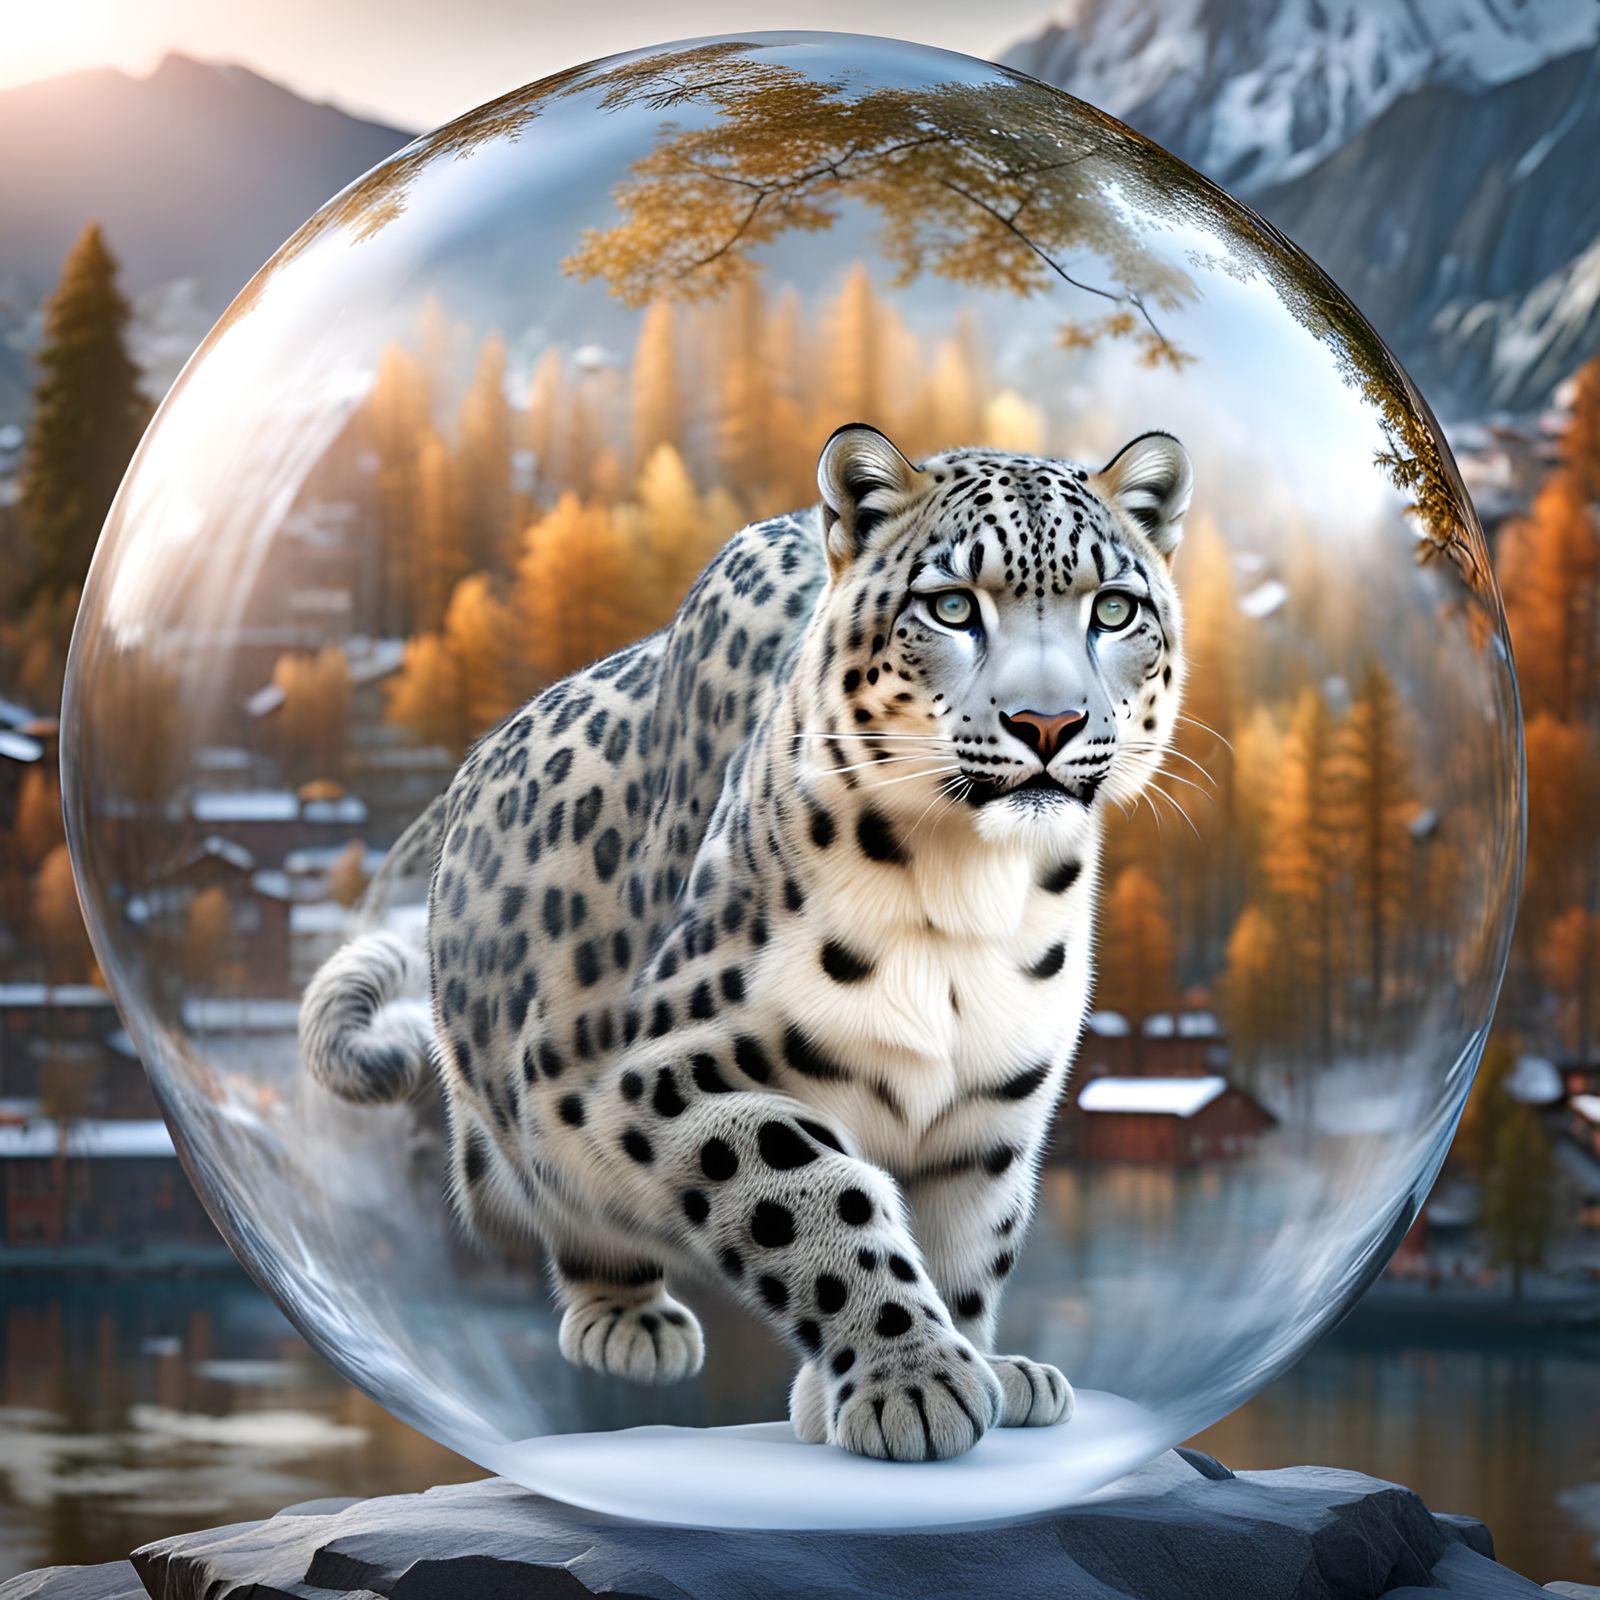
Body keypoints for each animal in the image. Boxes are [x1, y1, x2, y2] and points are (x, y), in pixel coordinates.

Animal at [300, 421, 1192, 1462]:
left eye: (1115, 609)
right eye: (952, 606)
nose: (1047, 723)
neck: (972, 894)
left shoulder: (991, 1110)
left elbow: (970, 1245)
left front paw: (972, 1369)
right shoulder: (668, 1072)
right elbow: (814, 1200)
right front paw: (914, 1382)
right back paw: (629, 1324)